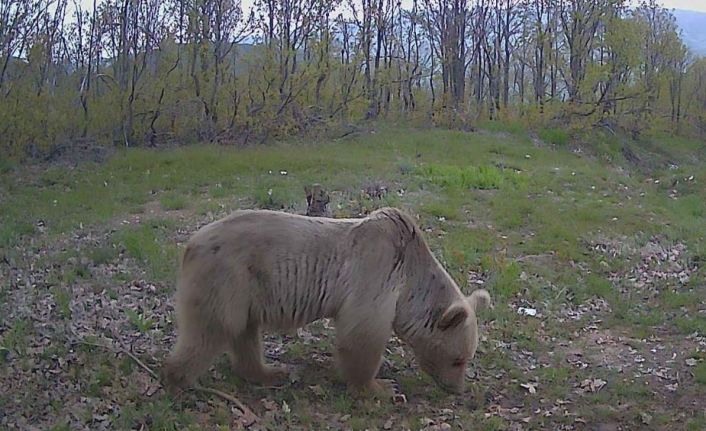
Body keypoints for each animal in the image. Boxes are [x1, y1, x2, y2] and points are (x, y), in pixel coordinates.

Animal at [161, 208, 490, 396]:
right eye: (458, 359)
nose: (457, 389)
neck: (410, 279)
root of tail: (191, 243)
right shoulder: (376, 270)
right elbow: (362, 334)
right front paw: (380, 388)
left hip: (248, 289)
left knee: (244, 333)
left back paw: (269, 372)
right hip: (227, 277)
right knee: (211, 329)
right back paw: (181, 380)